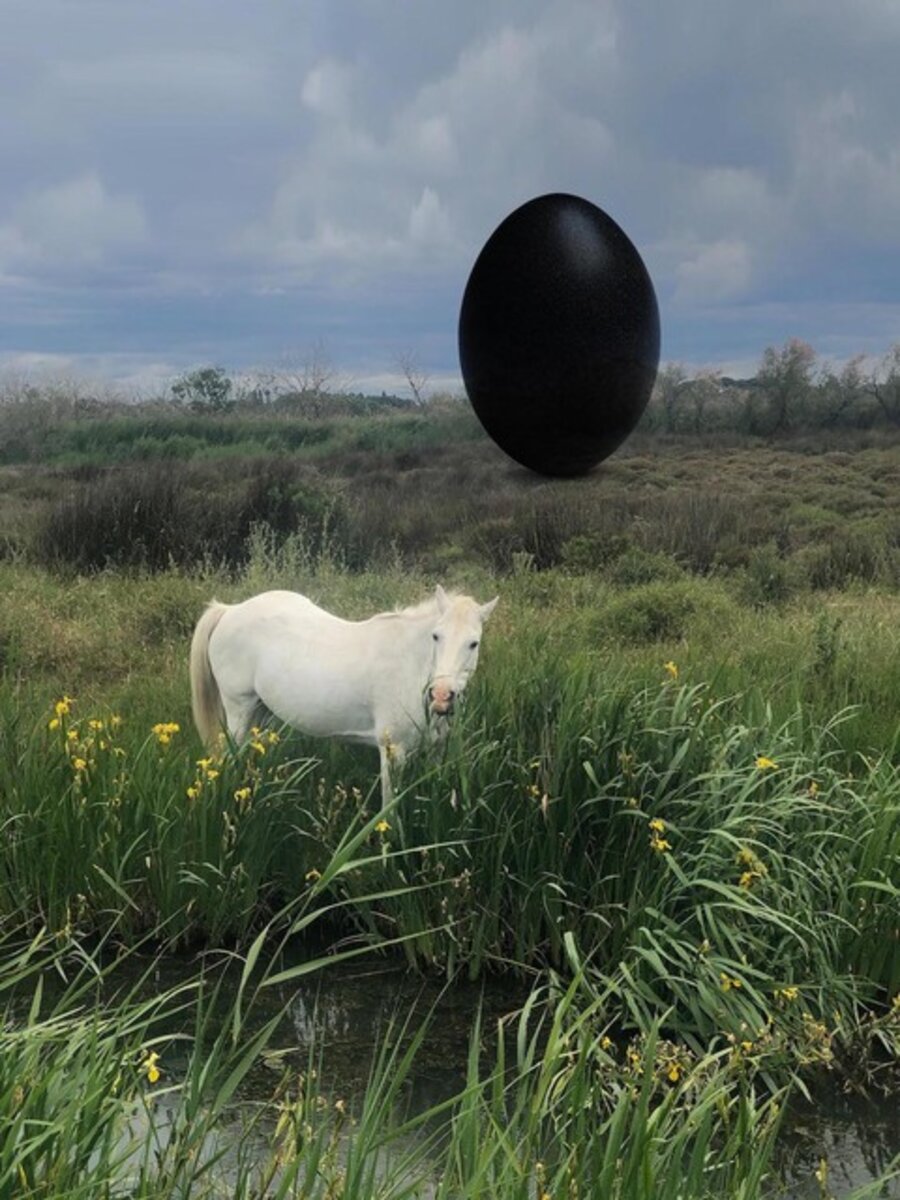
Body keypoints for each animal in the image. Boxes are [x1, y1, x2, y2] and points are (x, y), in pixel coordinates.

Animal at [189, 585, 498, 803]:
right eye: (436, 636)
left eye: (474, 643)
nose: (442, 696)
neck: (413, 664)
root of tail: (229, 610)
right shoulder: (393, 751)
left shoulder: (437, 748)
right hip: (239, 711)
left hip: (261, 713)